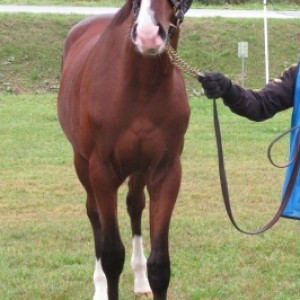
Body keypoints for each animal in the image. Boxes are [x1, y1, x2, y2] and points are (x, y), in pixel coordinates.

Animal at [57, 1, 193, 298]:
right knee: (93, 213)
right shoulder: (102, 172)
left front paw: (148, 277)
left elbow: (160, 265)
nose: (147, 35)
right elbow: (111, 256)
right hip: (82, 164)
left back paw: (140, 282)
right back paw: (99, 288)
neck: (141, 87)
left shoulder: (166, 173)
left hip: (138, 170)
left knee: (135, 206)